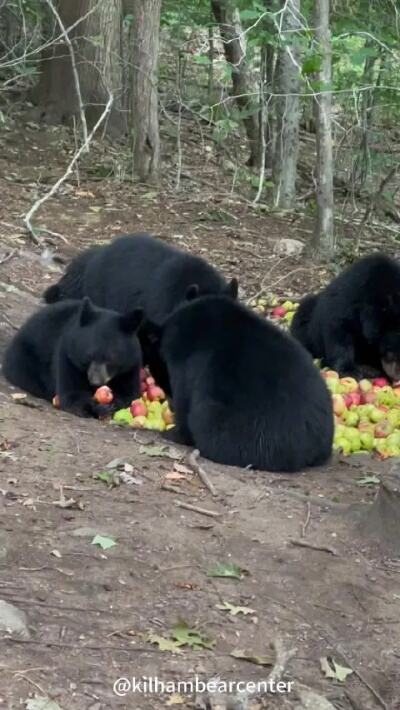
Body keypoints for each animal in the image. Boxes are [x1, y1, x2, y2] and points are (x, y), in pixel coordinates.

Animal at [2, 298, 144, 420]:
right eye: (89, 356)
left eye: (111, 358)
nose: (95, 382)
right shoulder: (68, 357)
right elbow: (72, 392)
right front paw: (94, 406)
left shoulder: (130, 367)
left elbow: (130, 395)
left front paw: (112, 405)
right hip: (24, 359)